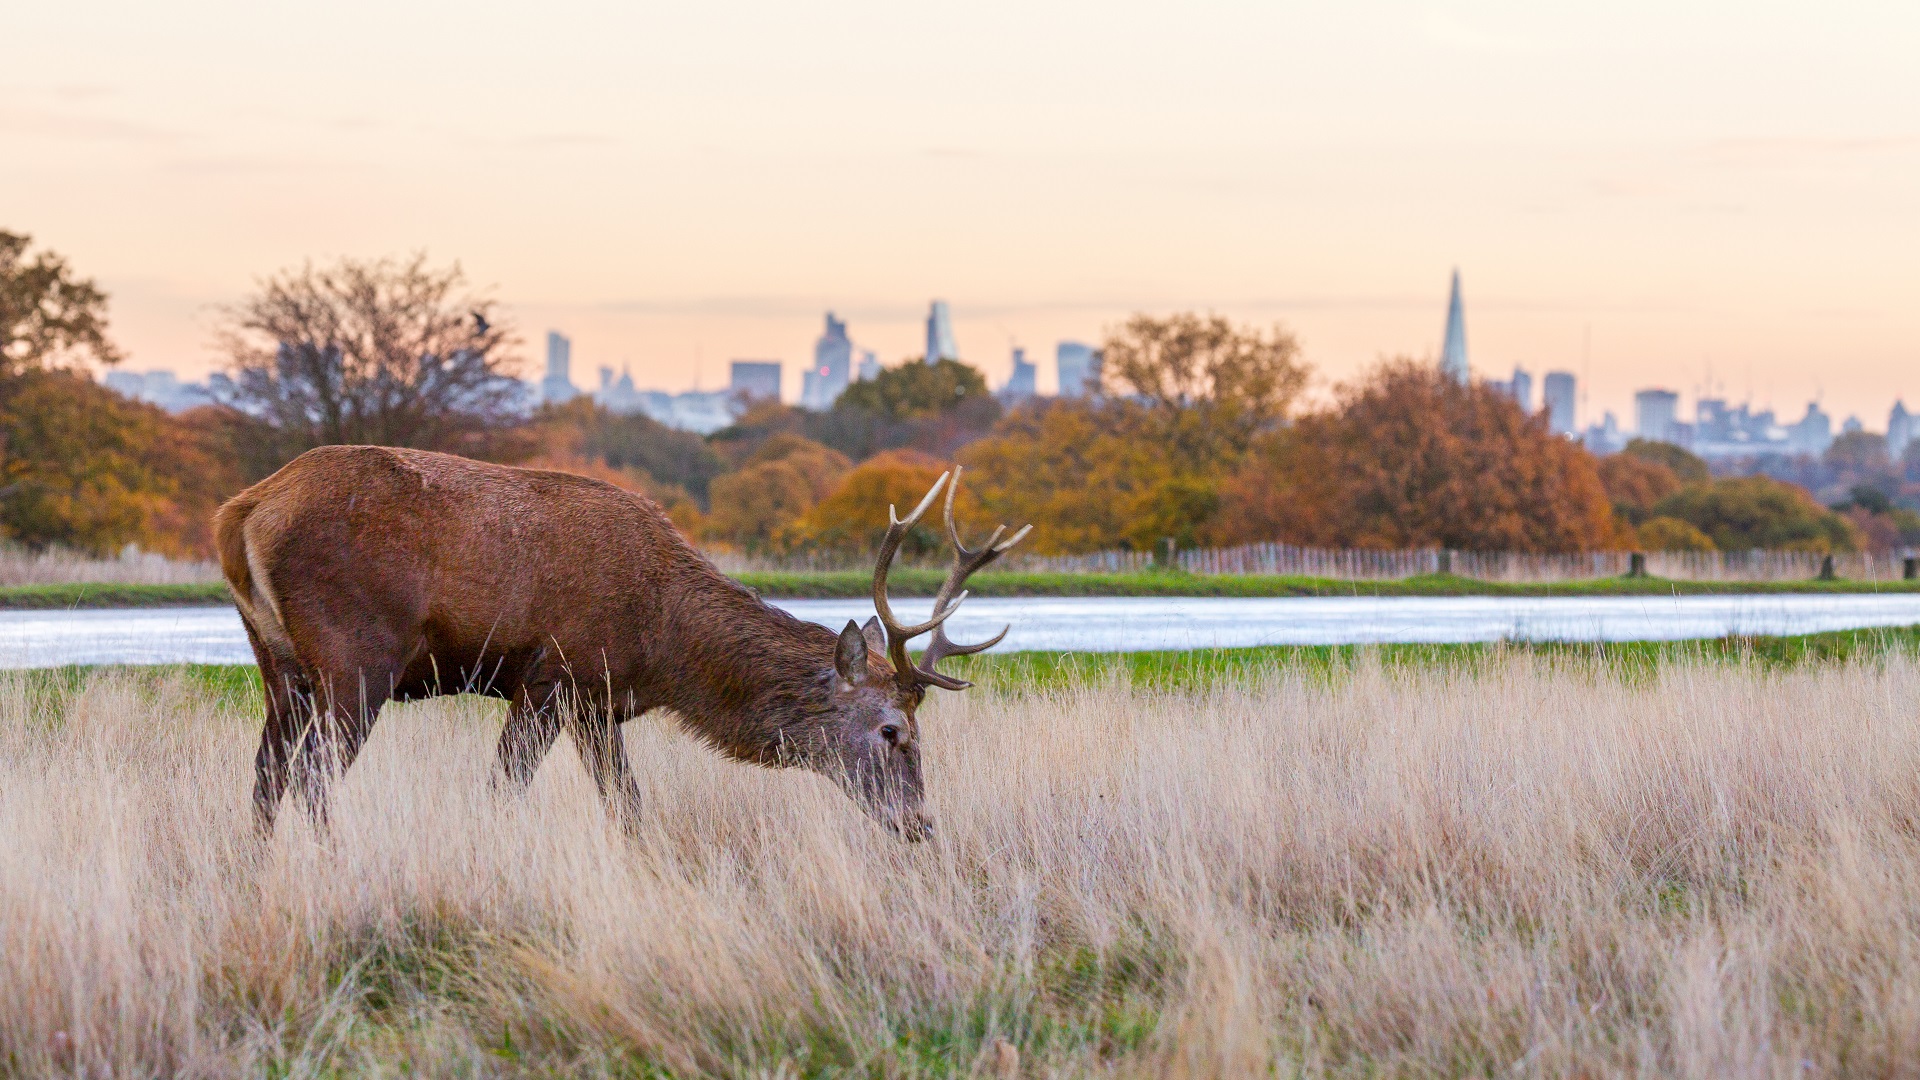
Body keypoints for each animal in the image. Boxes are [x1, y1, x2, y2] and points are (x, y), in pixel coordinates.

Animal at [213, 445, 1027, 841]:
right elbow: (503, 791)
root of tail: (242, 511)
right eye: (892, 730)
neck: (663, 644)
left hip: (277, 664)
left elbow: (629, 807)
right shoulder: (556, 677)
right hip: (356, 656)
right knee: (311, 780)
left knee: (264, 778)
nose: (921, 825)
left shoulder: (597, 706)